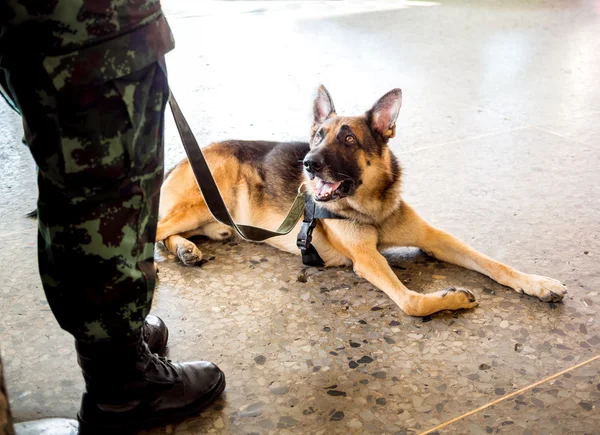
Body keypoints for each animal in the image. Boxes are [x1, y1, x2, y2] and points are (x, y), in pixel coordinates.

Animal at [156, 86, 568, 316]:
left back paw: (188, 248)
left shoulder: (435, 239)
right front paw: (451, 300)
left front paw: (537, 283)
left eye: (349, 139)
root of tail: (188, 157)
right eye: (318, 136)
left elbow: (494, 263)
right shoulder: (367, 260)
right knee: (155, 230)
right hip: (199, 204)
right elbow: (412, 303)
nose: (308, 164)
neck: (372, 207)